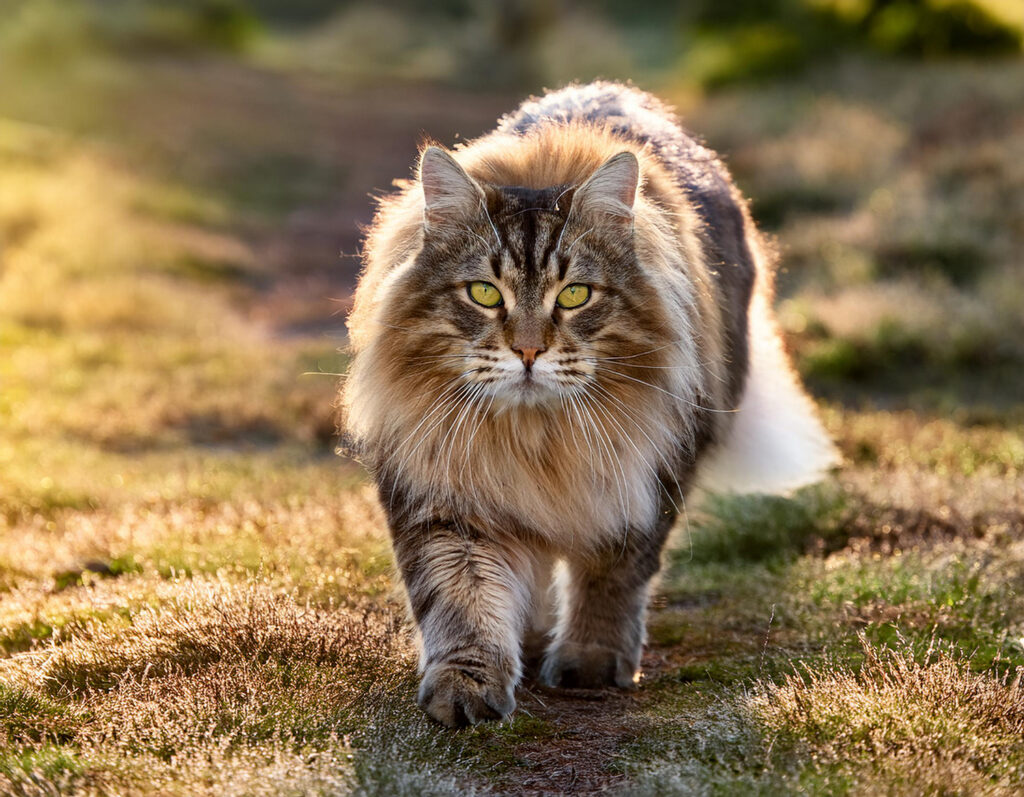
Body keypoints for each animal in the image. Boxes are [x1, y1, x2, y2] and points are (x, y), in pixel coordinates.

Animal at [339, 82, 835, 725]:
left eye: (575, 295)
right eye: (484, 294)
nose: (528, 350)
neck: (537, 439)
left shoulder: (644, 478)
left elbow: (612, 575)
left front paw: (590, 663)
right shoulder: (446, 490)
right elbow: (463, 598)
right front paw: (466, 688)